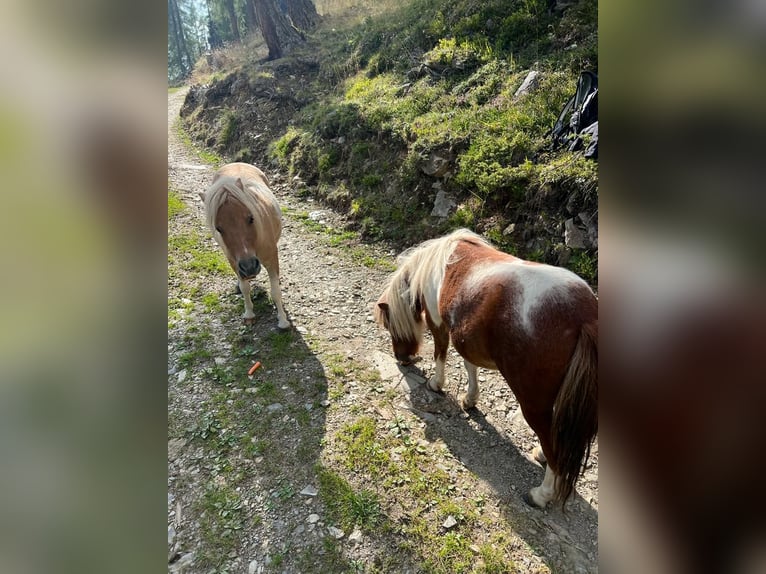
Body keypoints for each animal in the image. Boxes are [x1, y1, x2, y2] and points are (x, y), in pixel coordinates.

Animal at [201, 164, 292, 330]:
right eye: (218, 229)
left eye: (251, 218)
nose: (249, 267)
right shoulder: (234, 261)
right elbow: (245, 289)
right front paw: (249, 314)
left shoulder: (272, 258)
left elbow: (275, 291)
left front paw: (283, 321)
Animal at [374, 230, 600, 508]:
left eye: (389, 324)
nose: (402, 358)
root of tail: (584, 318)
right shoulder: (465, 336)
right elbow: (469, 365)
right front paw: (470, 399)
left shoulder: (440, 326)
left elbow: (440, 354)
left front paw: (436, 385)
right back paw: (541, 456)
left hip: (534, 406)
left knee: (554, 448)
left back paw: (541, 494)